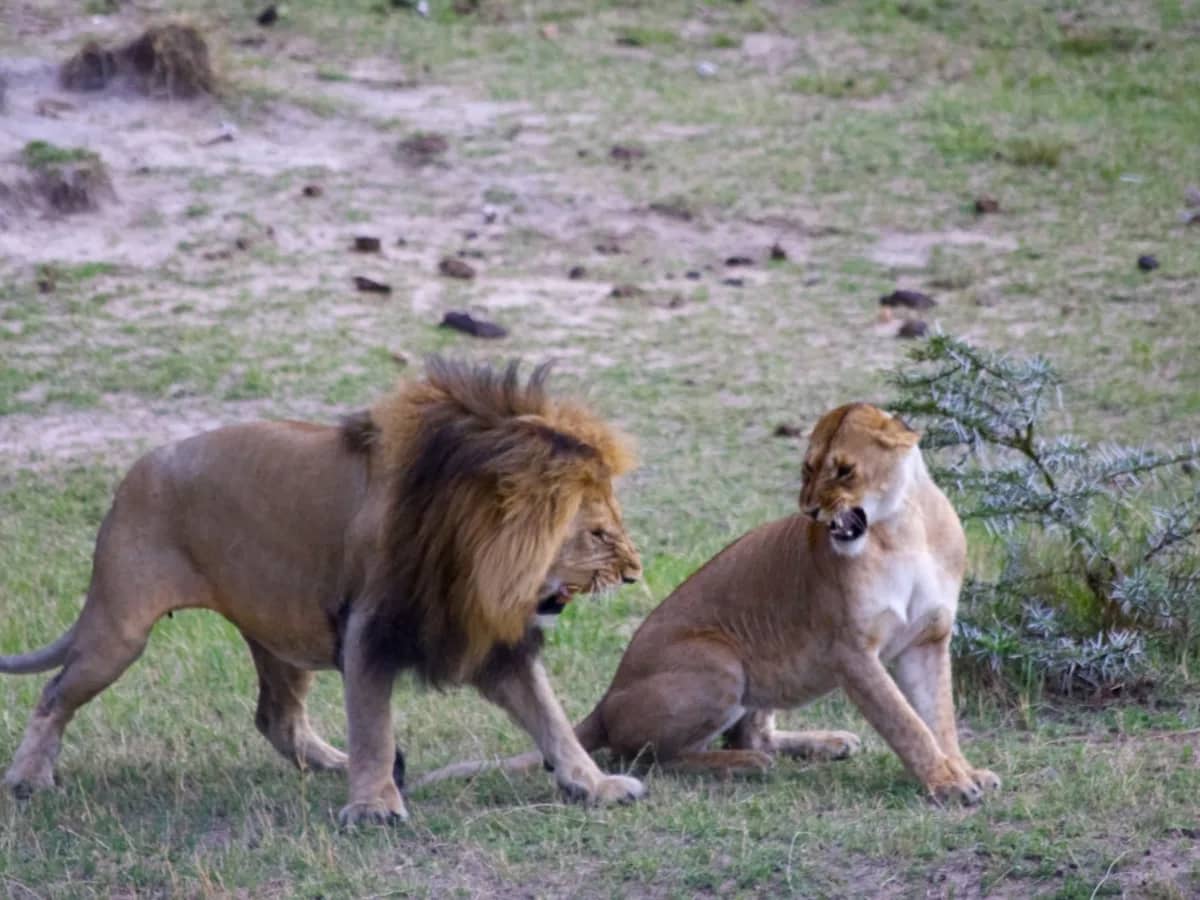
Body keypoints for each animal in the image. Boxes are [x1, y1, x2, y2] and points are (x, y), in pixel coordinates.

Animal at [0, 358, 646, 825]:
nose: (634, 574)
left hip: (279, 636)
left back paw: (335, 763)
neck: (465, 548)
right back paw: (28, 779)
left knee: (276, 718)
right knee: (54, 694)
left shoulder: (492, 641)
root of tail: (131, 476)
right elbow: (374, 727)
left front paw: (596, 785)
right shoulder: (368, 629)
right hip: (120, 629)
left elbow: (552, 720)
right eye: (598, 533)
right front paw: (374, 807)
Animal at [416, 403, 1000, 805]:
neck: (903, 530)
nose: (810, 511)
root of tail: (605, 700)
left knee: (752, 730)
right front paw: (948, 783)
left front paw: (964, 771)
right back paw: (742, 764)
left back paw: (824, 743)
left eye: (844, 471)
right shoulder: (853, 652)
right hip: (721, 661)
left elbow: (938, 718)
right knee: (650, 756)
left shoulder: (928, 639)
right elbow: (907, 724)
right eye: (807, 469)